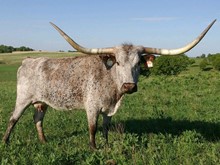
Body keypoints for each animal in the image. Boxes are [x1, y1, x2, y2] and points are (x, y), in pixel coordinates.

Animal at [2, 20, 216, 149]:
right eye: (118, 62)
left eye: (138, 63)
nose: (129, 86)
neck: (112, 87)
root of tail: (28, 60)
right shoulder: (92, 106)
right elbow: (93, 127)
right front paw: (93, 148)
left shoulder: (109, 109)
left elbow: (105, 128)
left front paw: (105, 145)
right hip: (23, 99)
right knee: (13, 119)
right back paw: (5, 142)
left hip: (42, 101)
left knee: (37, 119)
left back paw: (44, 141)